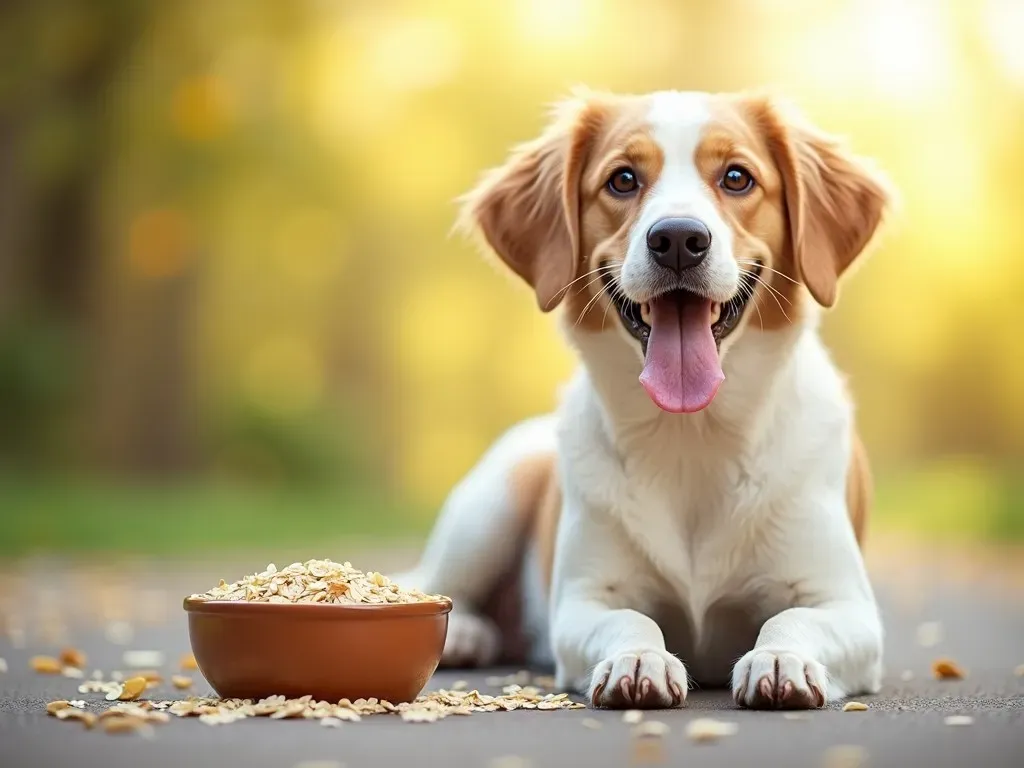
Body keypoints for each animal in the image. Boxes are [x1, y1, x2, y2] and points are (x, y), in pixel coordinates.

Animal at [395, 88, 892, 708]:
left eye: (737, 177)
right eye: (623, 179)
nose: (678, 238)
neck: (692, 436)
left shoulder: (847, 605)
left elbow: (790, 618)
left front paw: (781, 658)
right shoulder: (582, 603)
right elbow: (631, 619)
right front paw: (639, 658)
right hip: (494, 497)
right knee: (436, 586)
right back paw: (463, 631)